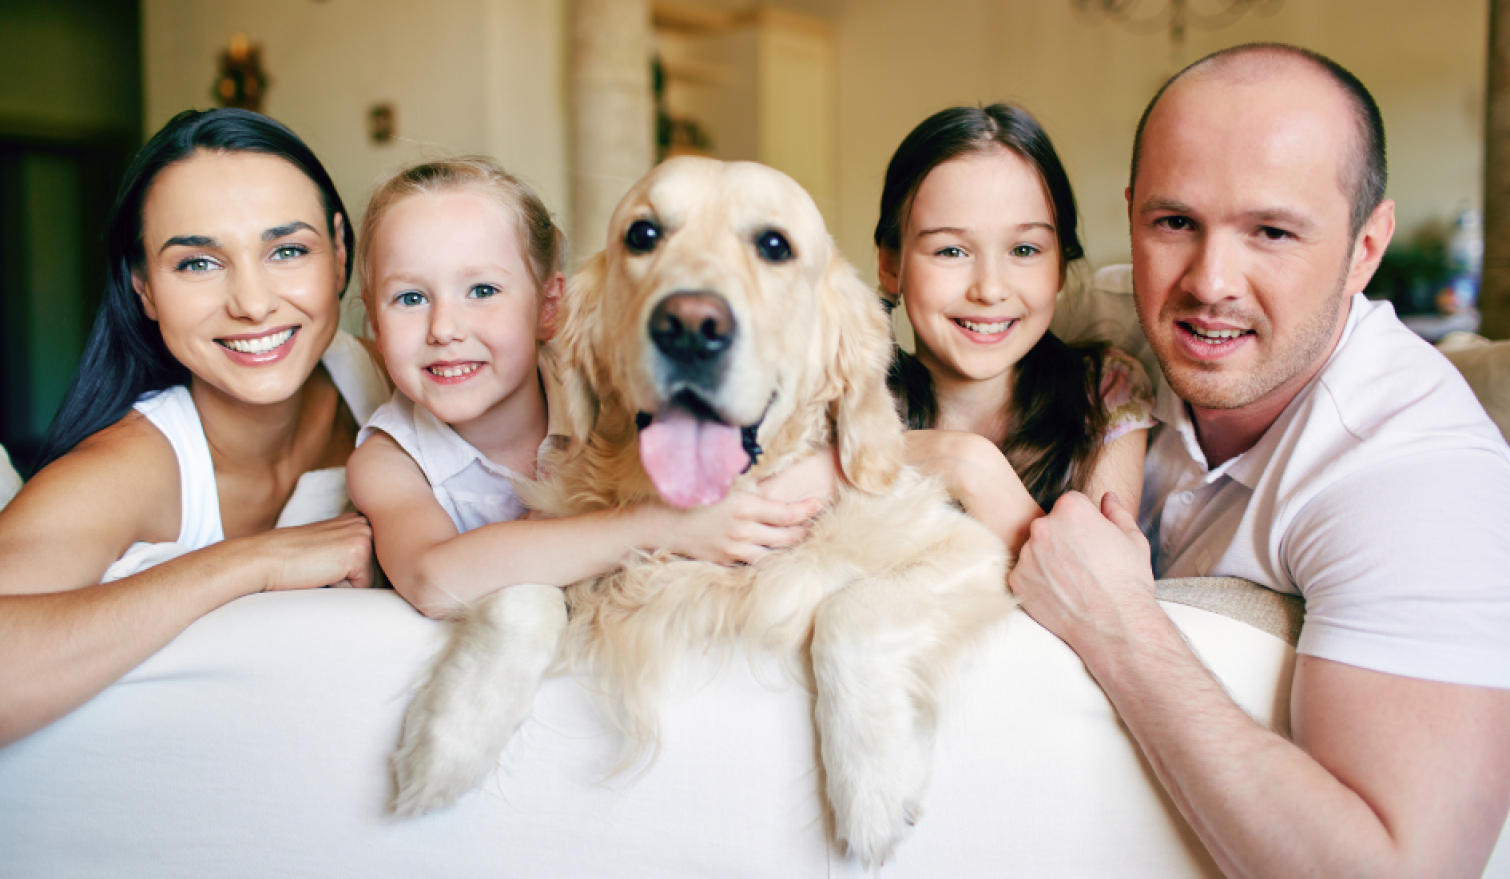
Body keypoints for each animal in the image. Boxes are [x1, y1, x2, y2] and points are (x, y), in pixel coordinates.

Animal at [395, 158, 1014, 869]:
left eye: (775, 245)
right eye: (642, 234)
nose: (690, 326)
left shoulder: (975, 549)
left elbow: (850, 611)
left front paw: (873, 788)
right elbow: (520, 595)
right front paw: (446, 743)